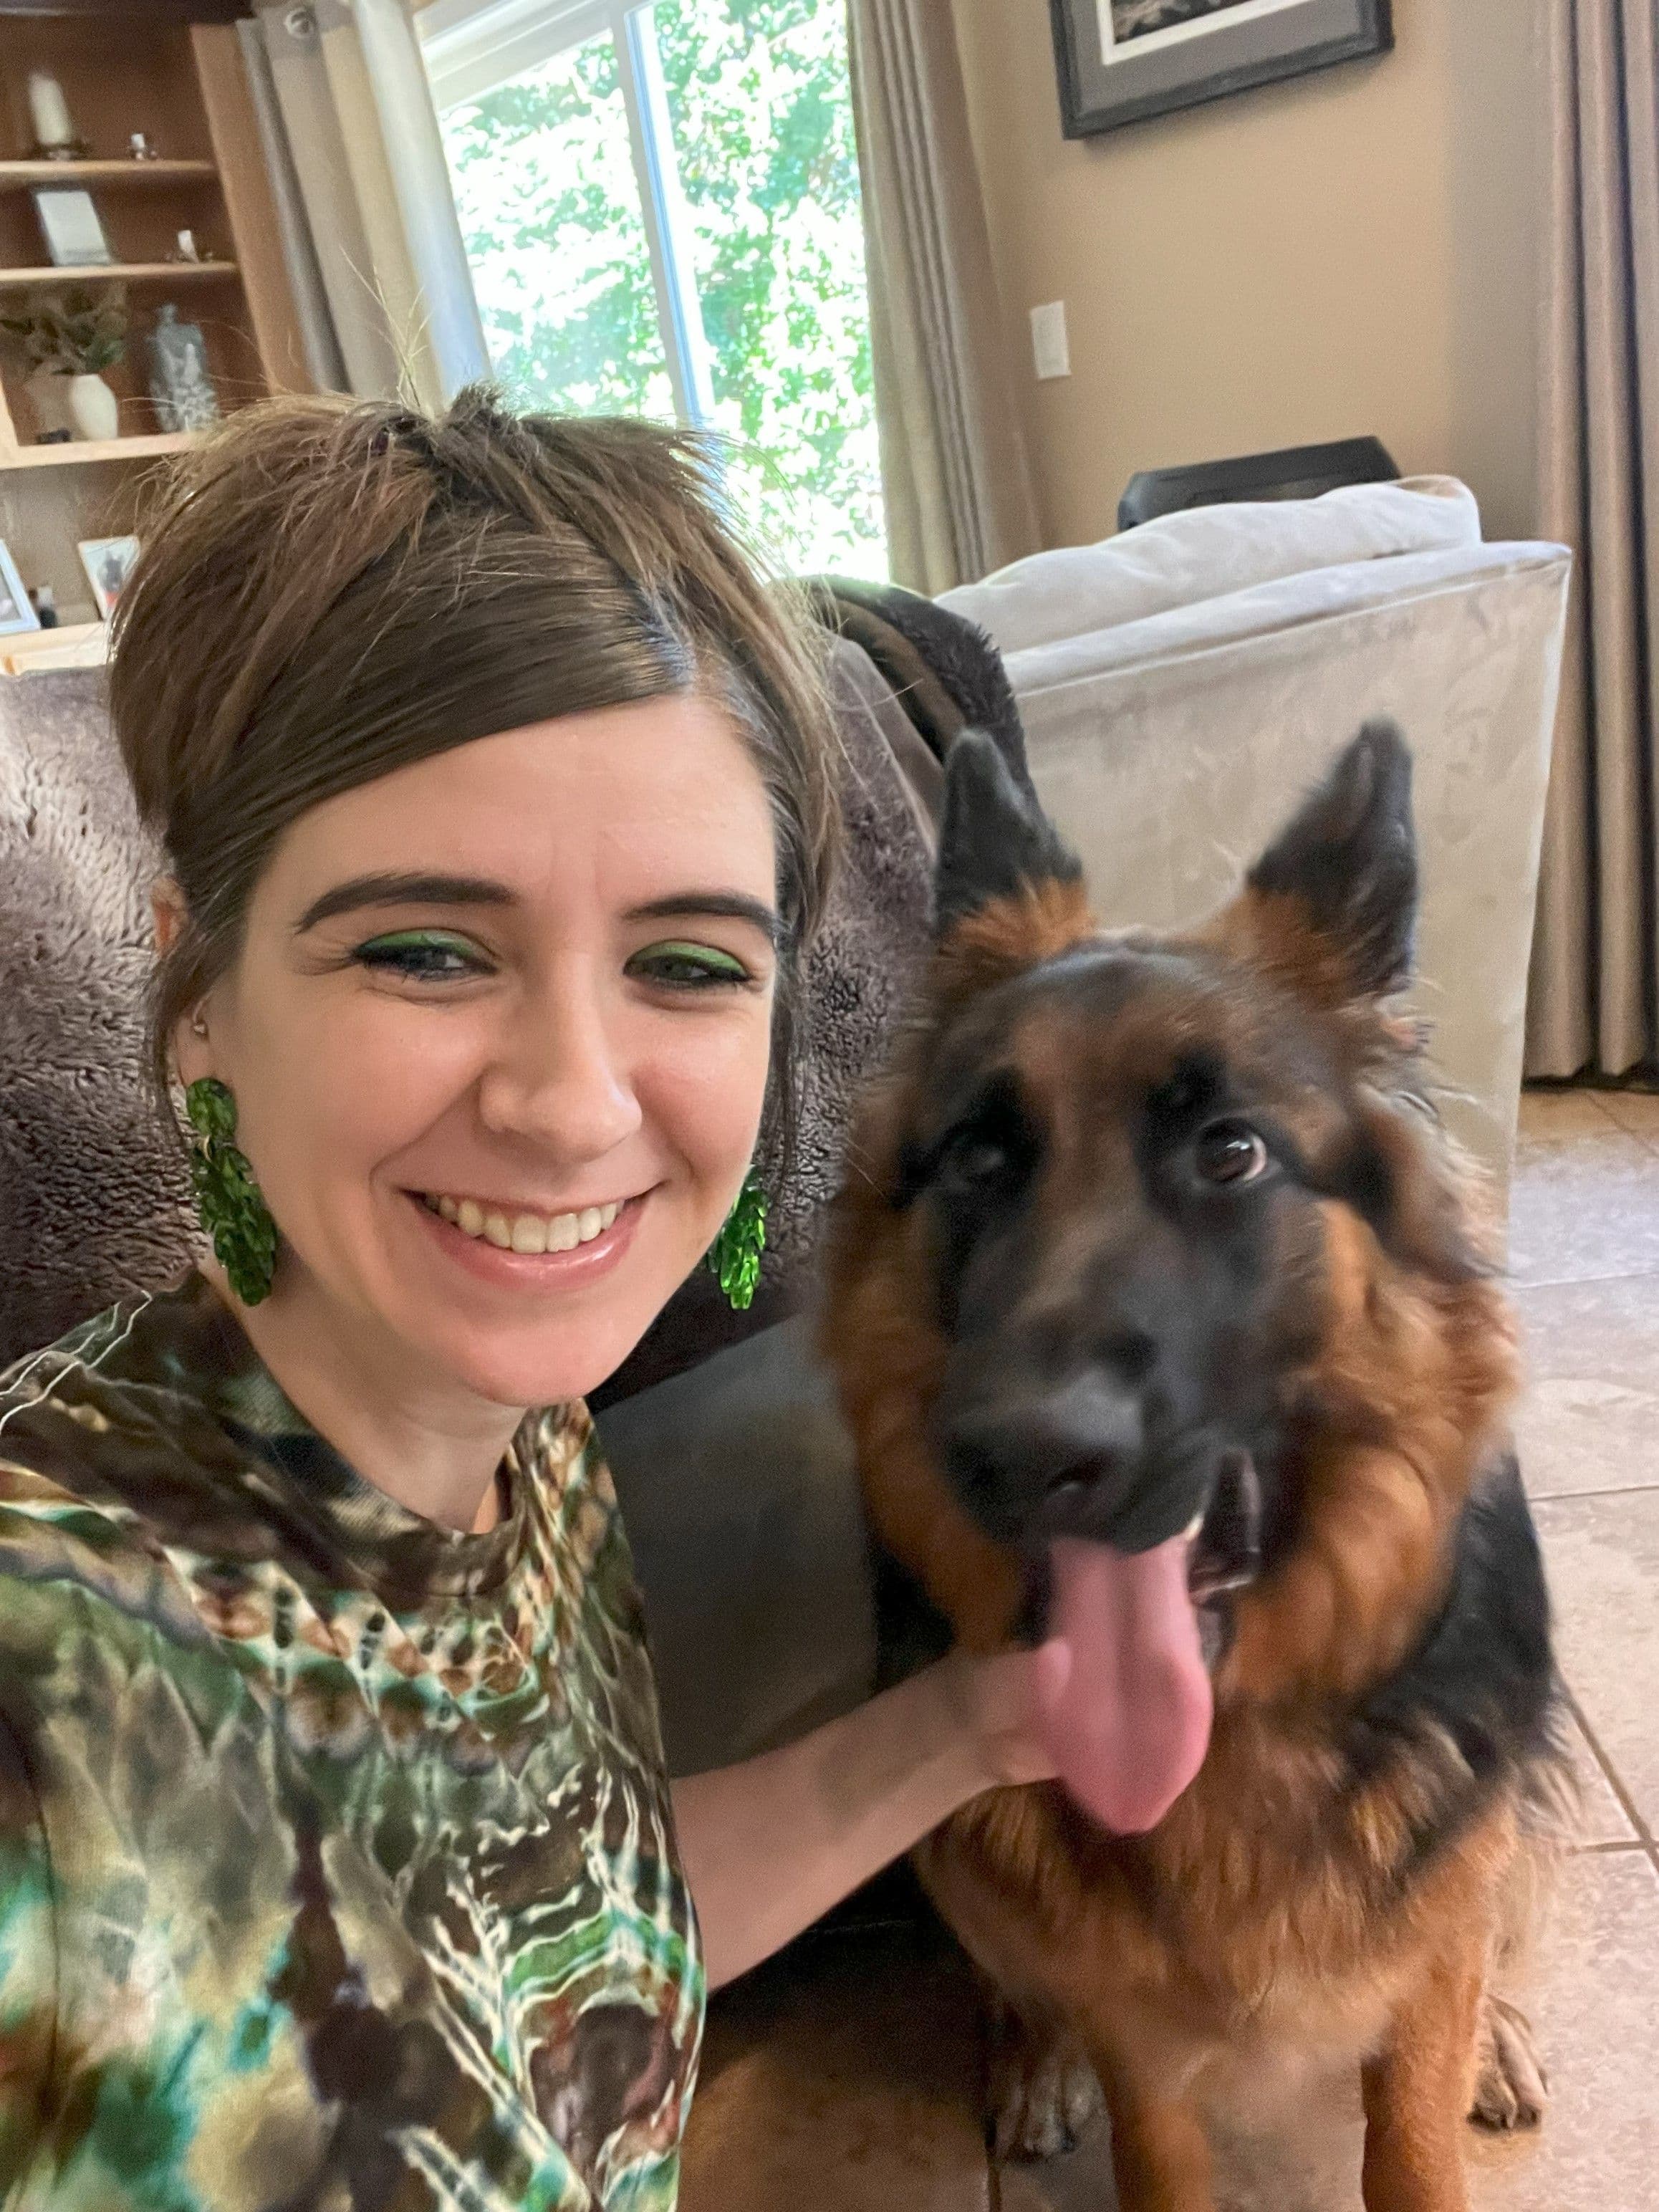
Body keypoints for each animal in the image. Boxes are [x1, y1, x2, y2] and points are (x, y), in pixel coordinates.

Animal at [832, 730, 1574, 2212]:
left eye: (1229, 1151)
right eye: (980, 1161)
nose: (1019, 1454)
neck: (1233, 1737)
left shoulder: (1426, 1948)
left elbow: (1413, 2131)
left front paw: (1465, 2060)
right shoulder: (1140, 2034)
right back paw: (1031, 2053)